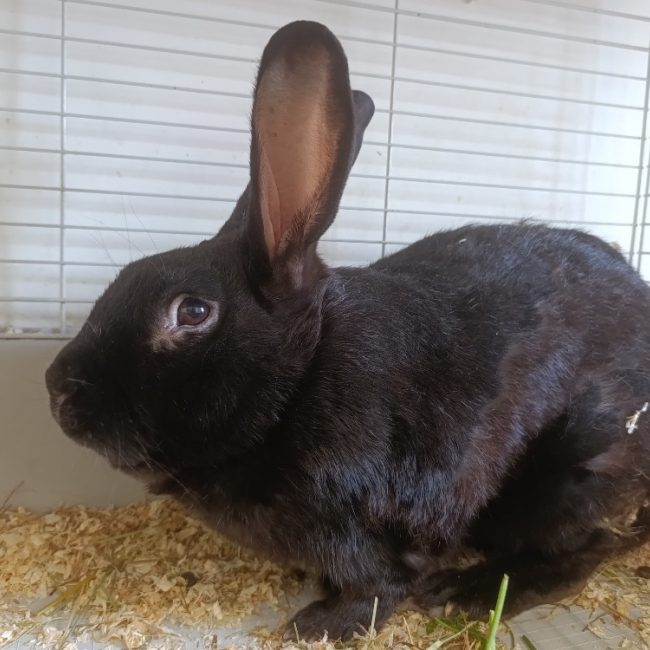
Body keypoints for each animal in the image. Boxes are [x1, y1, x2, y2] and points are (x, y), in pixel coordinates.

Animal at [45, 20, 650, 641]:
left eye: (191, 312)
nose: (58, 387)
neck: (301, 376)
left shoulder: (359, 528)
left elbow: (379, 588)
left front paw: (315, 625)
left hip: (572, 473)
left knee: (582, 551)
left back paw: (467, 593)